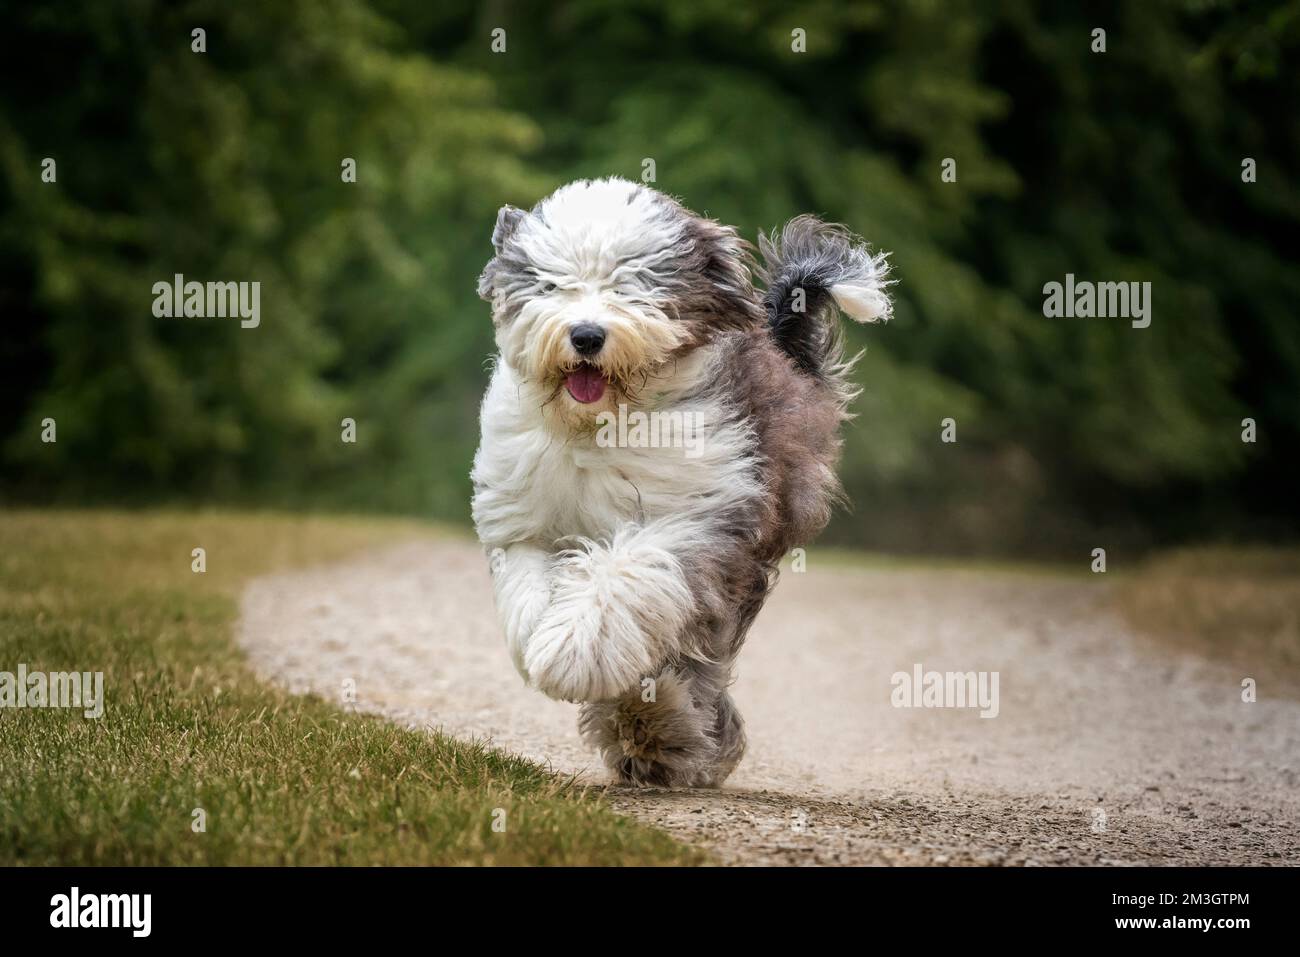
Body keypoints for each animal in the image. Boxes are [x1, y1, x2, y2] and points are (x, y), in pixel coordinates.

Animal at [473, 178, 889, 785]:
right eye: (553, 284)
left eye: (631, 284)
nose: (586, 335)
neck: (600, 428)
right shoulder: (523, 520)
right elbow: (528, 584)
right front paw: (541, 639)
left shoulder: (701, 517)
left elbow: (630, 574)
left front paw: (574, 653)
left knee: (699, 651)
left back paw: (665, 732)